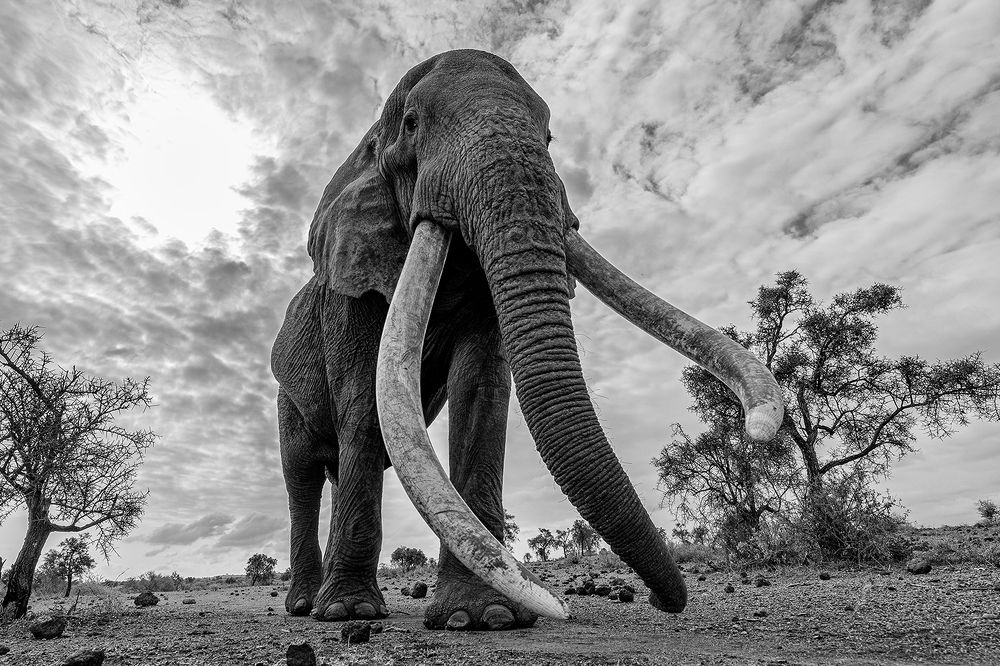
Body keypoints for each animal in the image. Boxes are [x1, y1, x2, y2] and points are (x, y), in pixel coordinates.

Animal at [270, 49, 783, 631]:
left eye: (551, 135)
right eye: (412, 125)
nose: (662, 600)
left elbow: (481, 391)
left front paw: (483, 617)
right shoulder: (348, 282)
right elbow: (362, 408)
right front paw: (347, 612)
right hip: (285, 393)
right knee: (302, 476)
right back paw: (310, 606)